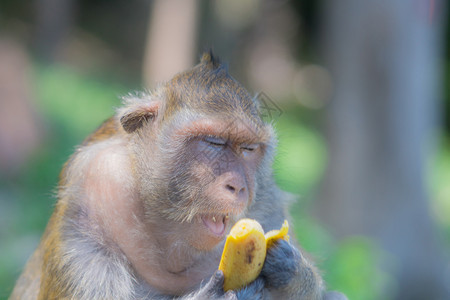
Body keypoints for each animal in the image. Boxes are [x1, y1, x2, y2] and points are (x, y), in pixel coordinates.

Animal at [10, 52, 348, 298]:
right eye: (213, 143)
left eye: (249, 149)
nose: (238, 186)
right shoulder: (91, 194)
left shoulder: (267, 200)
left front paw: (293, 270)